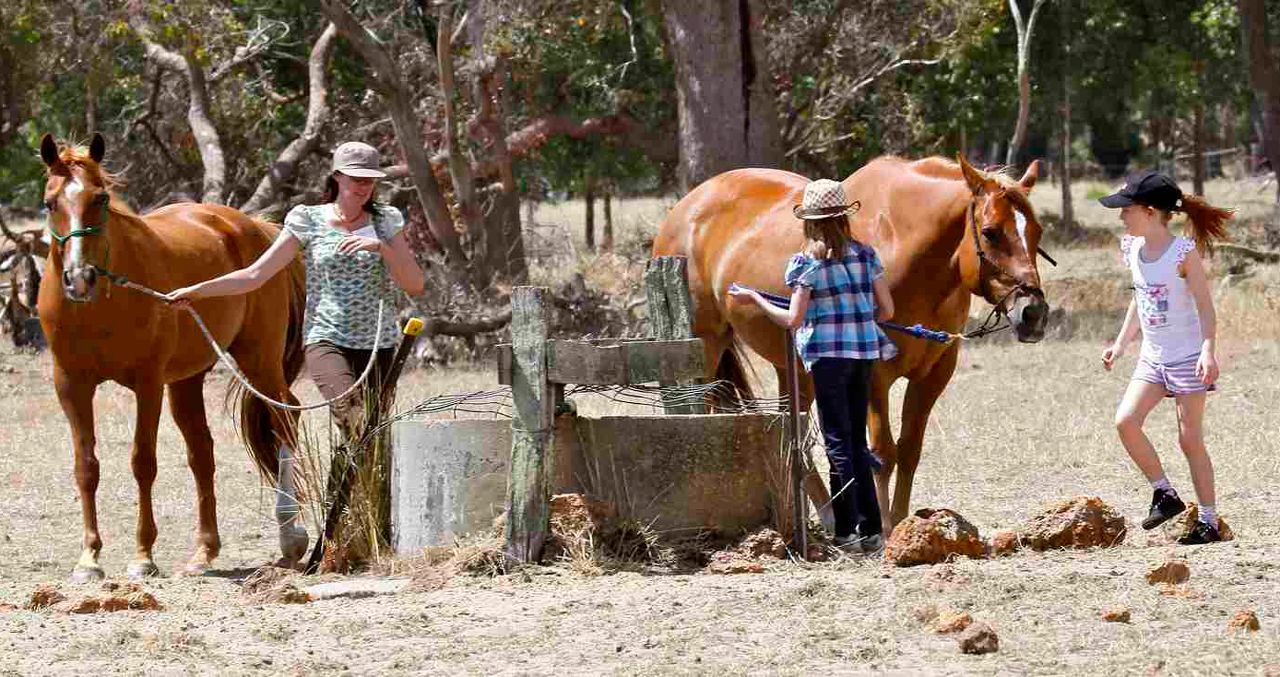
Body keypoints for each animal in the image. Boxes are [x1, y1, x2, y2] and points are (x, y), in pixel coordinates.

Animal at [38, 133, 309, 581]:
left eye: (101, 198)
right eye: (49, 202)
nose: (80, 278)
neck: (100, 308)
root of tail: (258, 228)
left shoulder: (147, 384)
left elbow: (142, 462)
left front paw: (143, 556)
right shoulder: (71, 386)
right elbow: (86, 466)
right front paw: (89, 558)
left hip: (259, 362)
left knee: (285, 420)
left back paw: (291, 537)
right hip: (187, 381)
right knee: (202, 452)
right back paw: (203, 552)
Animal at [652, 155, 1051, 532]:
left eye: (1036, 231)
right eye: (991, 232)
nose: (1033, 312)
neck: (903, 244)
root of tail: (683, 210)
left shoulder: (934, 374)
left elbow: (909, 449)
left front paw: (900, 520)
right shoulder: (875, 374)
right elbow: (882, 452)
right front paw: (885, 527)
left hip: (792, 367)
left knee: (791, 430)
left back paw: (827, 515)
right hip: (707, 347)